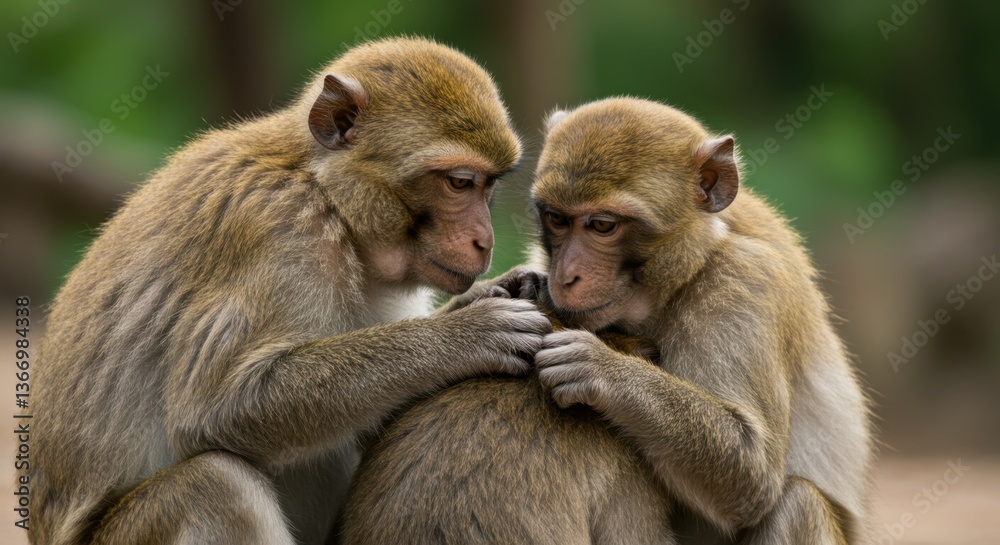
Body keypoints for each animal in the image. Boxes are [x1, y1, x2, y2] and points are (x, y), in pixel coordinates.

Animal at [28, 37, 553, 545]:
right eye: (460, 183)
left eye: (488, 186)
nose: (484, 240)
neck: (328, 197)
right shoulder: (281, 232)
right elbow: (217, 409)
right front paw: (466, 334)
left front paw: (489, 294)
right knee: (213, 485)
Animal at [340, 98, 873, 545]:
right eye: (557, 219)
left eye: (602, 226)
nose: (565, 275)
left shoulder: (742, 283)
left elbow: (751, 477)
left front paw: (603, 371)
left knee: (796, 501)